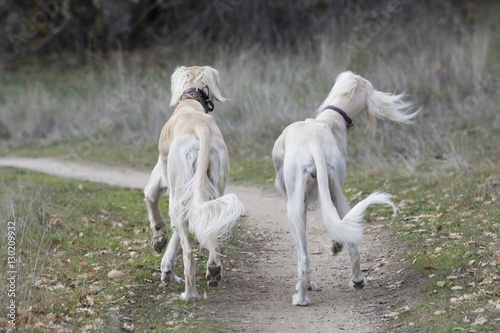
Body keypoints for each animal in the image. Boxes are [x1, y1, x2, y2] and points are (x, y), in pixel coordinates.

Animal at [144, 66, 245, 300]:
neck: (191, 104)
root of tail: (202, 129)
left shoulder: (163, 175)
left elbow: (150, 195)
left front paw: (159, 238)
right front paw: (167, 269)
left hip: (177, 188)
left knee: (188, 252)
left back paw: (189, 293)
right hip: (215, 185)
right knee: (211, 229)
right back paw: (214, 269)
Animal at [272, 71, 420, 304]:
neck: (329, 120)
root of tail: (314, 144)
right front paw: (336, 245)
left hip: (294, 208)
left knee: (303, 258)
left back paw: (303, 295)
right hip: (336, 192)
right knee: (350, 236)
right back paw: (357, 279)